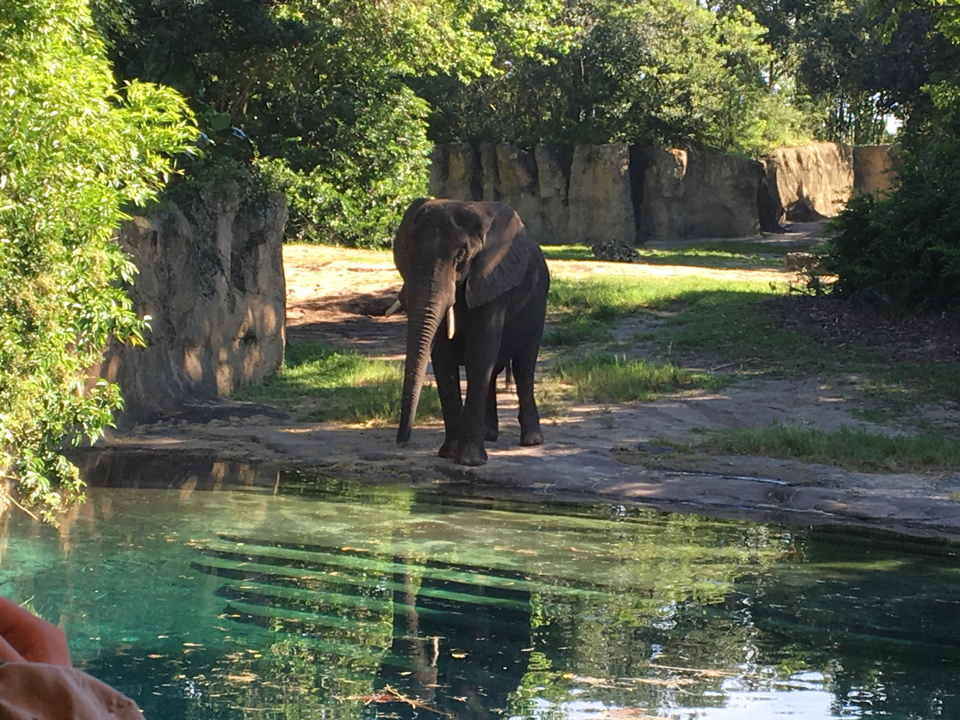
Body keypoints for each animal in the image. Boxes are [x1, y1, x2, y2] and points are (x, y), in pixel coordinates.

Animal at [389, 198, 550, 466]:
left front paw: (469, 460)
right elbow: (443, 359)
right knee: (494, 371)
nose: (402, 443)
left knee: (524, 366)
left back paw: (532, 440)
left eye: (461, 255)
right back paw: (489, 434)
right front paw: (449, 453)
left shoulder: (493, 279)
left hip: (538, 304)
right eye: (408, 250)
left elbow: (480, 353)